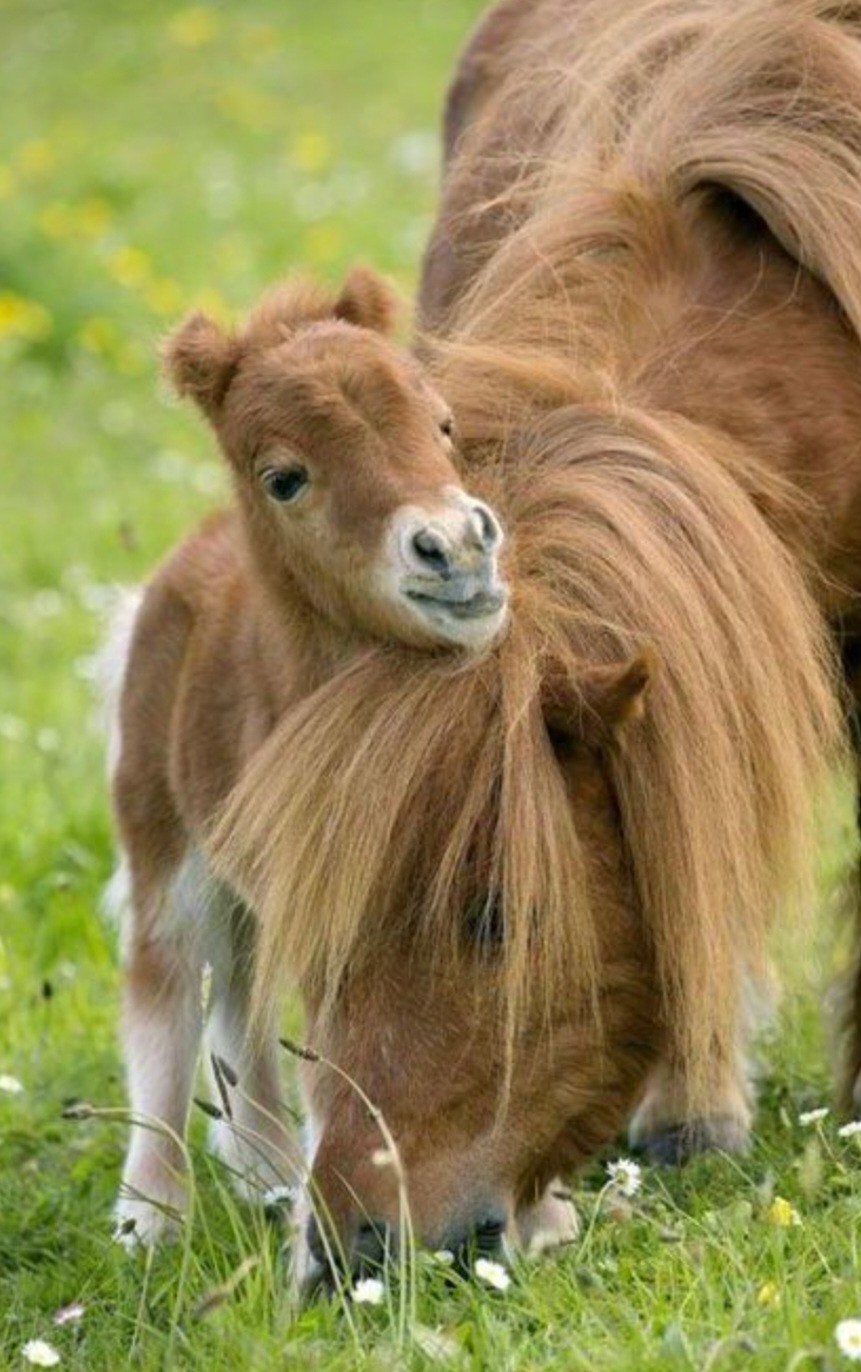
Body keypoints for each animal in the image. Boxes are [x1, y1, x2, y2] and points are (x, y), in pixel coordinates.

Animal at [105, 265, 507, 1247]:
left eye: (443, 424)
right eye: (285, 478)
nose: (456, 549)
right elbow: (345, 1053)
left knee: (240, 989)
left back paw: (266, 1173)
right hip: (164, 835)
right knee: (168, 982)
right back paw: (152, 1218)